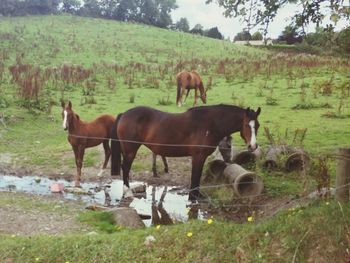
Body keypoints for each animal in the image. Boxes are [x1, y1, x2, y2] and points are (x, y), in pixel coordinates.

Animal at [110, 104, 262, 201]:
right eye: (246, 125)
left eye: (258, 125)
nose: (253, 146)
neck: (210, 124)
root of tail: (124, 114)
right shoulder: (198, 157)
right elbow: (195, 177)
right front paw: (192, 199)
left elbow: (197, 177)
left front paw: (197, 196)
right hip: (130, 150)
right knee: (125, 168)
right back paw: (128, 192)